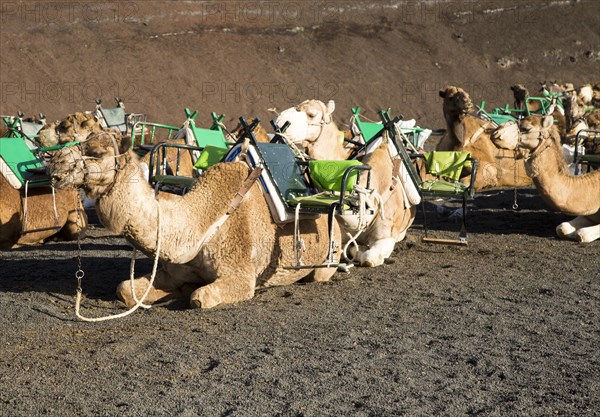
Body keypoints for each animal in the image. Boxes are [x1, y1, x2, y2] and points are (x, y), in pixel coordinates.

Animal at [47, 130, 342, 308]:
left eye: (96, 152)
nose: (55, 166)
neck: (201, 223)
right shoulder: (173, 269)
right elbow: (125, 289)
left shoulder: (242, 276)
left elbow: (198, 297)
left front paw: (188, 291)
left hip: (328, 259)